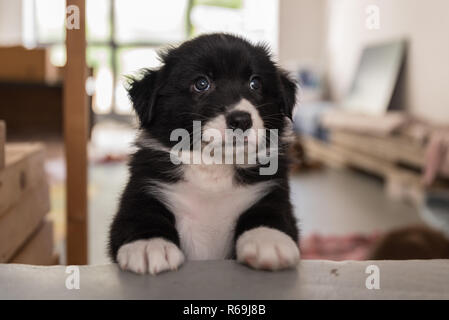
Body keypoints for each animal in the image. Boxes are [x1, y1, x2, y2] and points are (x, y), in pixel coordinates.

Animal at [107, 33, 298, 276]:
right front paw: (149, 245)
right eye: (201, 83)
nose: (241, 120)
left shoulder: (272, 189)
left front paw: (268, 240)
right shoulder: (144, 186)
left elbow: (270, 212)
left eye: (255, 83)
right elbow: (141, 213)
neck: (214, 167)